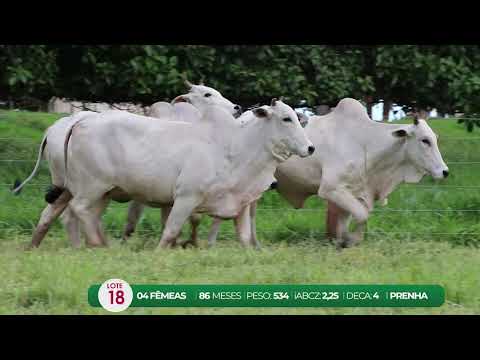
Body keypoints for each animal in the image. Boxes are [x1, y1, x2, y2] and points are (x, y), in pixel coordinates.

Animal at [31, 100, 314, 249]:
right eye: (286, 119)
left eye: (297, 117)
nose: (310, 148)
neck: (236, 149)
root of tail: (81, 121)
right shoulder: (186, 197)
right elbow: (170, 231)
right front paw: (161, 252)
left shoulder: (241, 204)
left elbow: (244, 238)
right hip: (92, 187)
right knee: (78, 211)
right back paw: (99, 245)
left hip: (85, 190)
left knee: (58, 214)